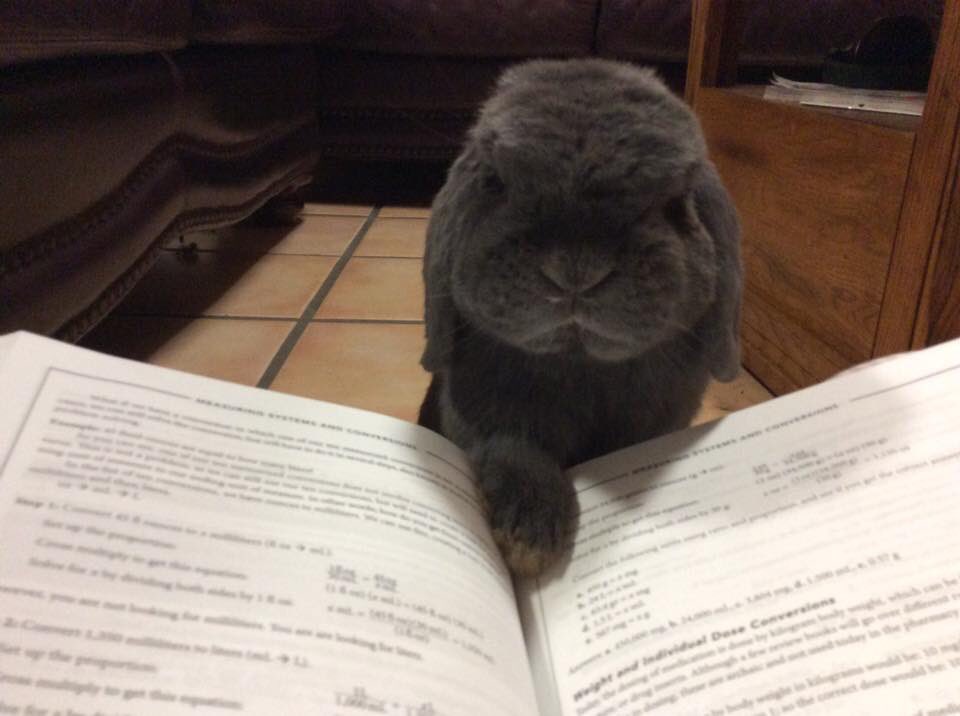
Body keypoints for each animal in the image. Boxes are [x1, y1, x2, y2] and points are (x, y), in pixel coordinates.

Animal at [418, 59, 742, 577]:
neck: (580, 365)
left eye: (674, 202)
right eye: (495, 183)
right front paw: (529, 541)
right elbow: (515, 450)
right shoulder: (480, 421)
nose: (576, 270)